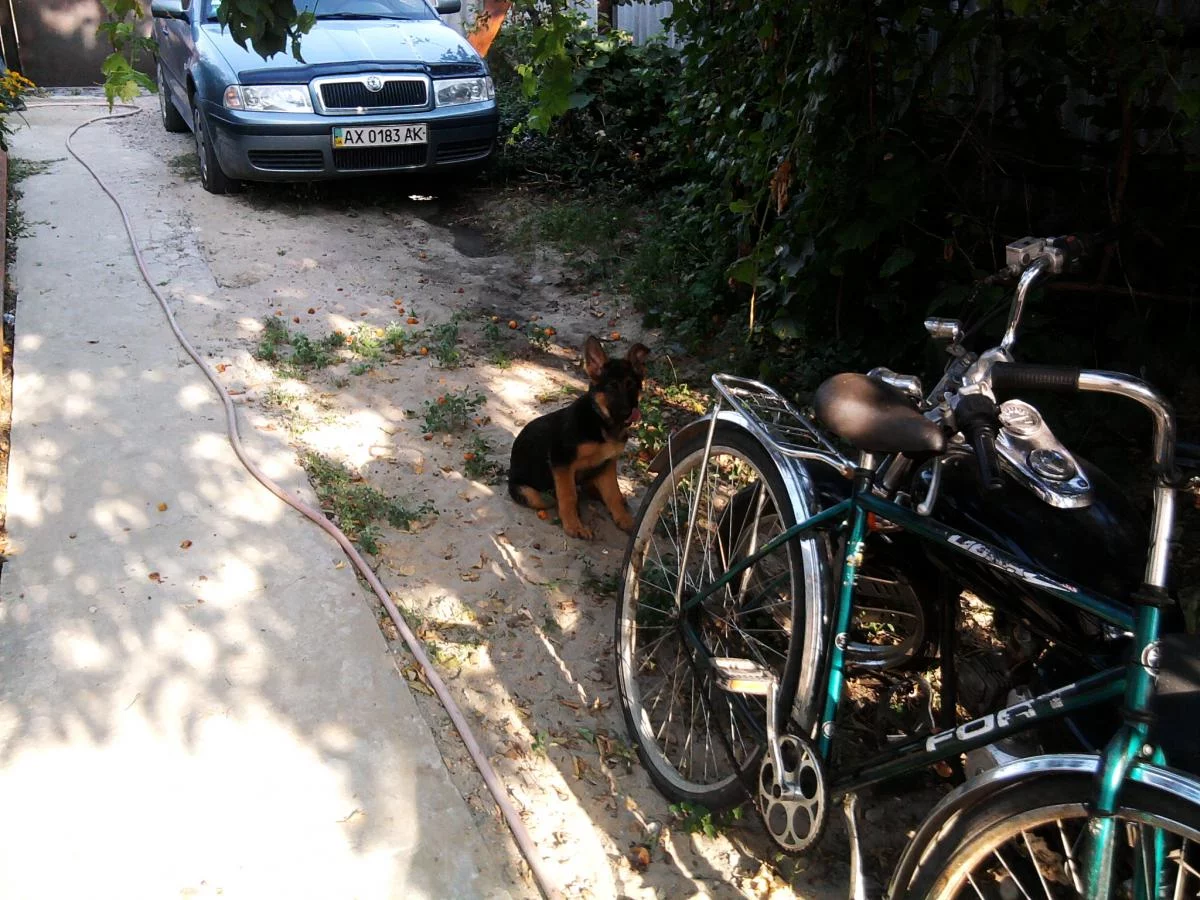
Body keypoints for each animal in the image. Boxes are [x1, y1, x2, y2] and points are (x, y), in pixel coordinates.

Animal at [508, 336, 650, 539]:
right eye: (611, 387)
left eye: (631, 385)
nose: (628, 414)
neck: (601, 422)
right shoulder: (561, 462)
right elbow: (568, 496)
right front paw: (573, 526)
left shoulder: (607, 464)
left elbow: (613, 494)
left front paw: (626, 521)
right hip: (530, 493)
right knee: (551, 497)